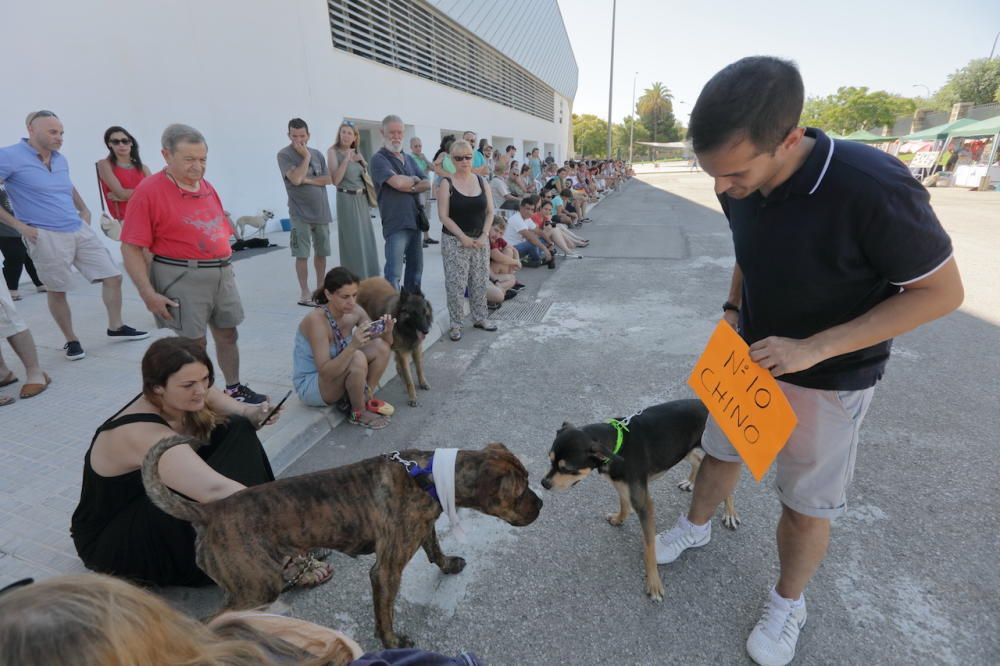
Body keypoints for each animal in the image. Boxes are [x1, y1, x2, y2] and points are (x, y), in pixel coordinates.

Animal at [141, 438, 540, 644]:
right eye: (520, 492)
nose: (541, 504)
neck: (426, 475)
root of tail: (208, 512)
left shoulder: (421, 527)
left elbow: (435, 549)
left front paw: (449, 564)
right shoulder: (386, 571)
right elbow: (386, 612)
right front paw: (391, 642)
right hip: (257, 585)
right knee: (208, 619)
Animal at [362, 274, 436, 404]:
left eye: (424, 311)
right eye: (414, 313)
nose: (426, 331)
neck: (404, 328)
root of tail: (363, 281)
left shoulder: (416, 347)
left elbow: (419, 368)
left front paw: (422, 383)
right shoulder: (402, 352)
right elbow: (409, 378)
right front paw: (412, 396)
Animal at [544, 400, 740, 600]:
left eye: (567, 469)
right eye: (550, 460)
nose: (544, 484)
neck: (619, 444)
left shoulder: (645, 504)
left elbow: (649, 548)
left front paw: (653, 583)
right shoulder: (621, 485)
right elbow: (623, 504)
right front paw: (619, 519)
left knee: (725, 481)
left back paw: (730, 513)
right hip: (683, 448)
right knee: (698, 460)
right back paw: (691, 481)